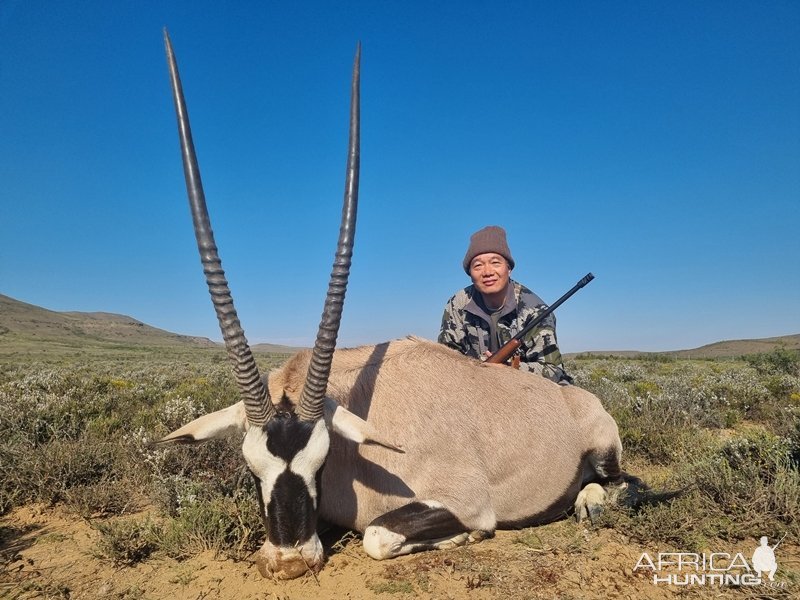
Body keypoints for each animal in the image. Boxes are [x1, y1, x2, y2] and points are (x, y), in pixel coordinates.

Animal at [159, 30, 628, 580]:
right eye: (252, 467)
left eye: (322, 461)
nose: (291, 562)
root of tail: (582, 401)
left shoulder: (464, 501)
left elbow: (378, 536)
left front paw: (461, 538)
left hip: (605, 451)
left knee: (620, 483)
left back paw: (590, 501)